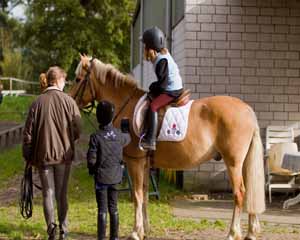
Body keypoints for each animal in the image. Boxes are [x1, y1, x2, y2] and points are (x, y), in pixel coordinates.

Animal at [69, 54, 264, 240]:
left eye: (78, 79)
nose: (71, 101)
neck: (127, 106)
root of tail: (247, 110)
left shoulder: (134, 162)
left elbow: (137, 196)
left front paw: (136, 232)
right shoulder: (145, 163)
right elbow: (144, 194)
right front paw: (145, 230)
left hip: (233, 163)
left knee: (239, 194)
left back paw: (232, 233)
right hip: (243, 163)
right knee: (250, 192)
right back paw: (251, 232)